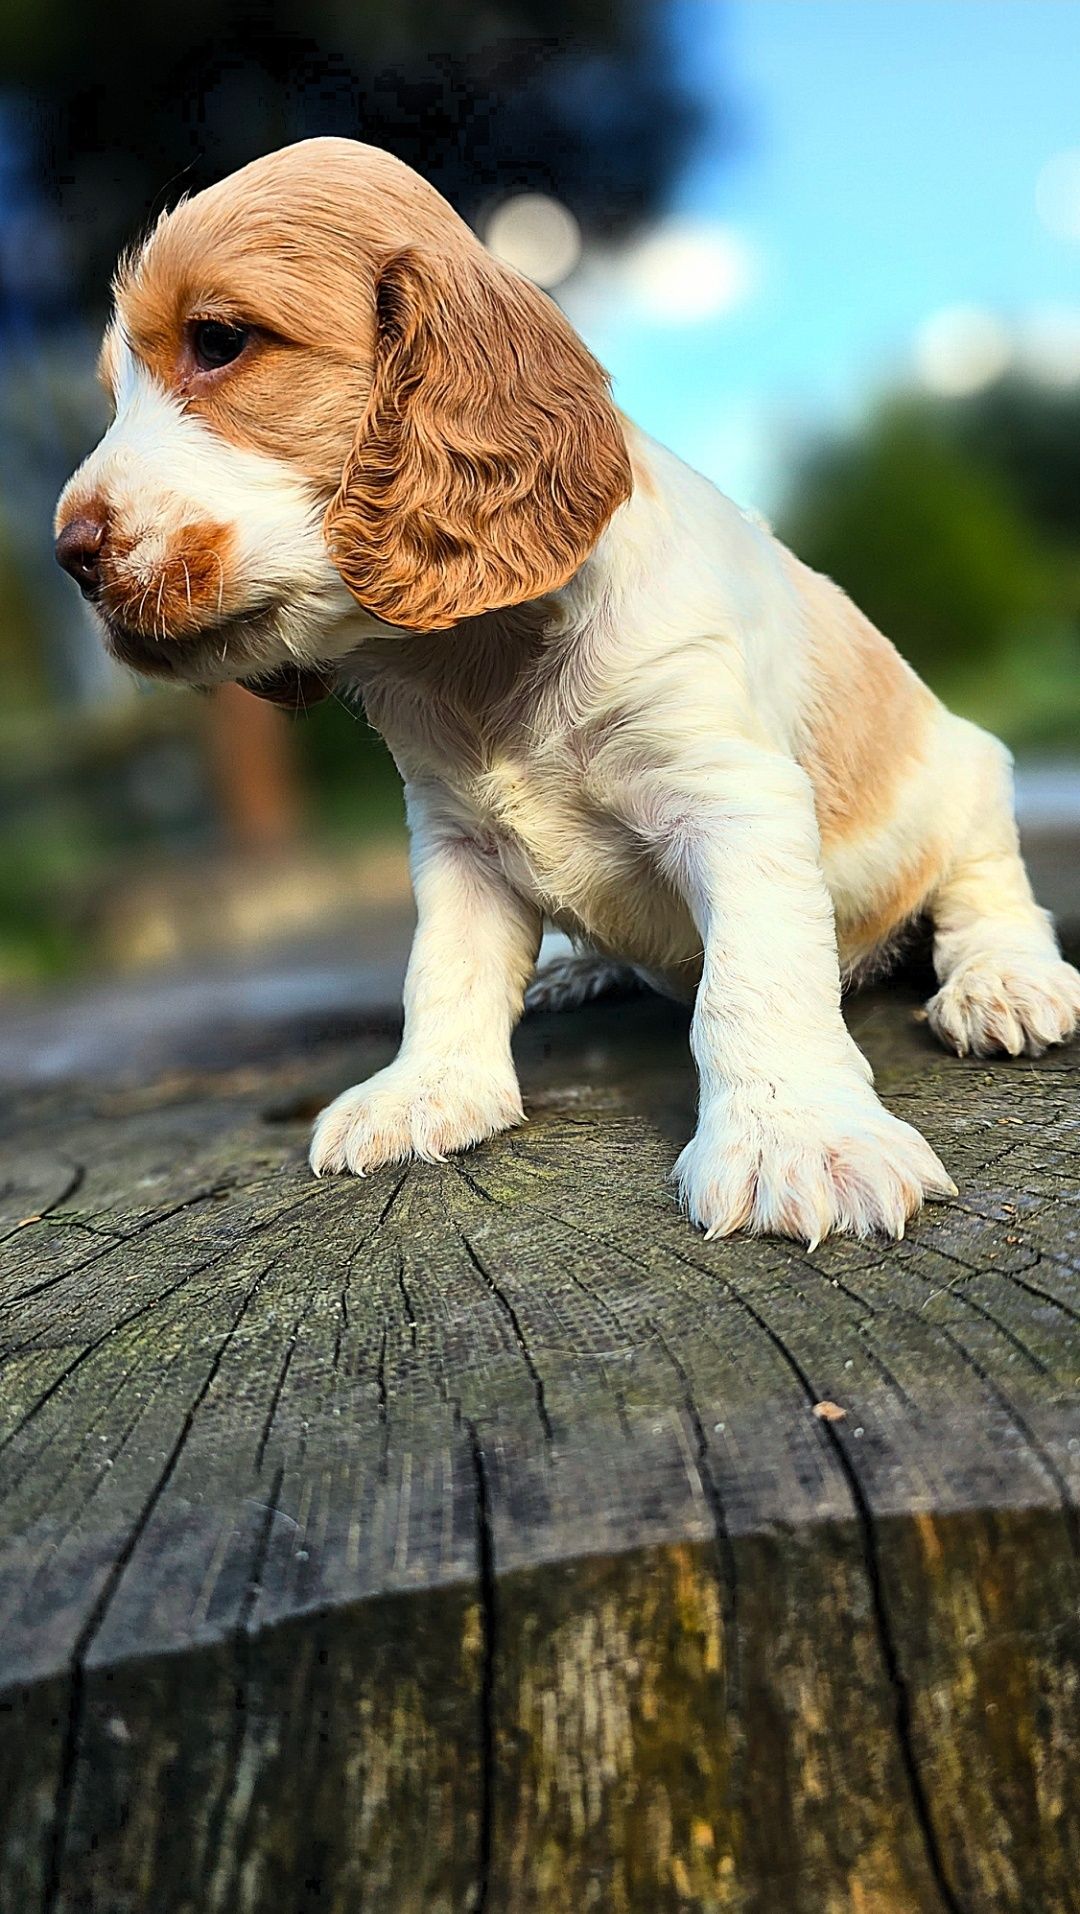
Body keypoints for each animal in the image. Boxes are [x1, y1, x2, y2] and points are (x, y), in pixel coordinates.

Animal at [56, 134, 1080, 1240]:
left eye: (218, 341)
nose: (70, 554)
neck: (475, 656)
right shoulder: (452, 838)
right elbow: (444, 968)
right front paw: (426, 1089)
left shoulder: (733, 798)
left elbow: (755, 979)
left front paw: (797, 1137)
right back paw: (576, 963)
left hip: (968, 771)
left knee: (987, 892)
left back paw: (1004, 984)